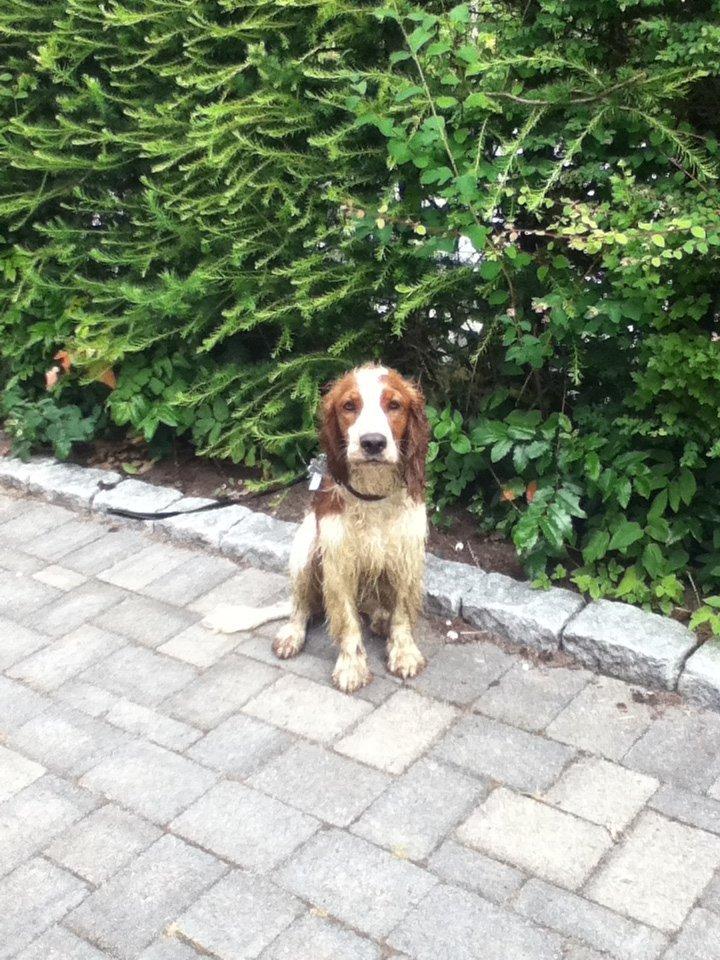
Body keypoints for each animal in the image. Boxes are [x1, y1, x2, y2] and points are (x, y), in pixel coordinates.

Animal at [204, 364, 428, 692]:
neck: (372, 496)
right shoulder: (337, 562)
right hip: (305, 547)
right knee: (300, 606)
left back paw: (379, 619)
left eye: (394, 405)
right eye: (349, 406)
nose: (373, 443)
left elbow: (402, 613)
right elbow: (346, 621)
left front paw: (404, 652)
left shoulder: (406, 555)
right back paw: (291, 635)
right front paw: (351, 667)